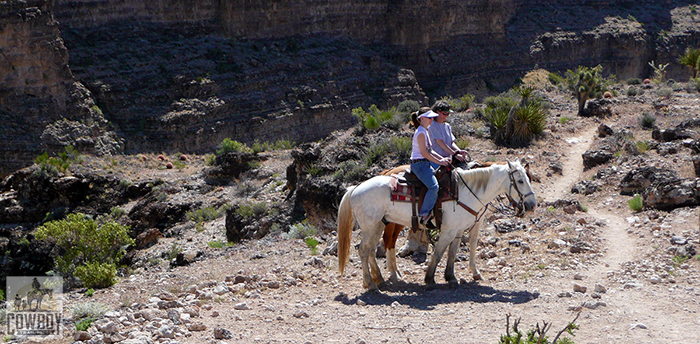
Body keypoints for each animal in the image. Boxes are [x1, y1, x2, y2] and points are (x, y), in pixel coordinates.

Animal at [340, 160, 536, 288]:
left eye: (529, 178)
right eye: (520, 181)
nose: (531, 205)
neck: (465, 191)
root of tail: (355, 188)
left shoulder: (459, 229)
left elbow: (453, 252)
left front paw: (451, 276)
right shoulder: (449, 230)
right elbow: (439, 253)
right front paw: (429, 278)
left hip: (378, 224)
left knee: (371, 250)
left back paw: (380, 279)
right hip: (371, 226)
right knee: (365, 250)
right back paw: (370, 283)